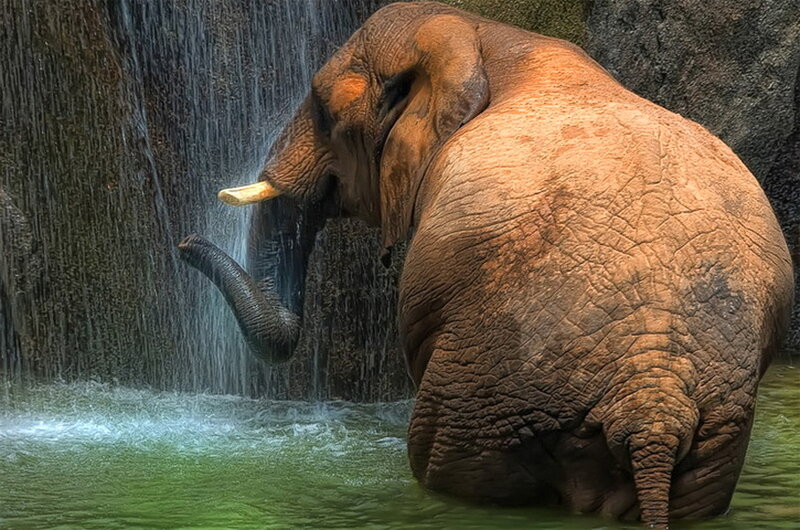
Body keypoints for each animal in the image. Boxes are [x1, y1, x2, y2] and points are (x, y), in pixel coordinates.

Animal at [178, 2, 795, 527]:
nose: (184, 243)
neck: (486, 35)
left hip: (490, 391)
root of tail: (652, 403)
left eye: (326, 111)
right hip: (717, 433)